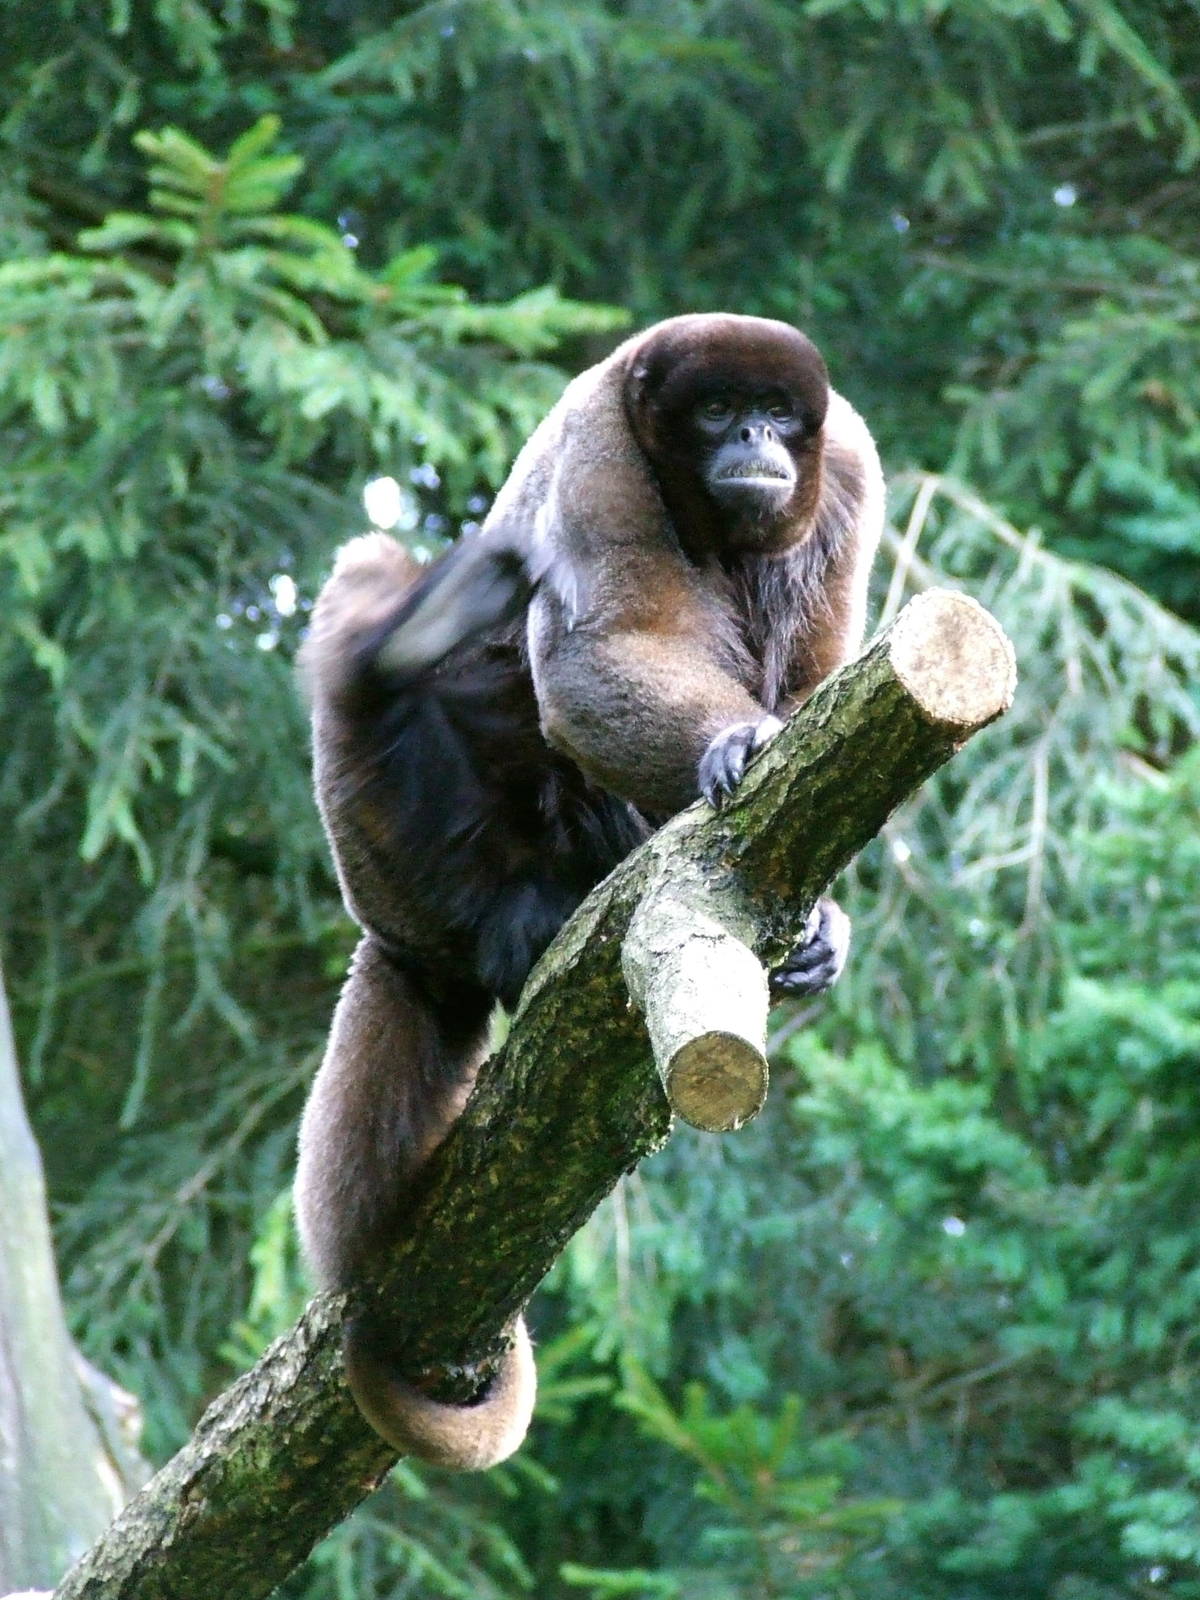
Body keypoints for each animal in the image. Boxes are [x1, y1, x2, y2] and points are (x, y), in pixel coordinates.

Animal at [294, 313, 885, 1471]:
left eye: (777, 413)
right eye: (715, 410)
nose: (752, 435)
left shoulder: (846, 465)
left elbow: (817, 689)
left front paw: (825, 925)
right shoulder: (599, 440)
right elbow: (600, 647)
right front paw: (729, 744)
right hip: (395, 862)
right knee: (371, 597)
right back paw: (397, 667)